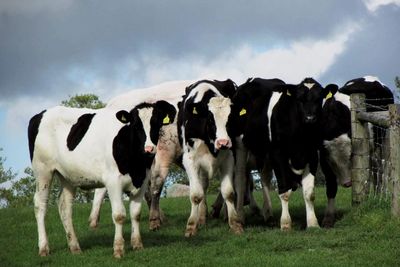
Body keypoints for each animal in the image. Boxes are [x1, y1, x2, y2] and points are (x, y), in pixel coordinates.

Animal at [28, 100, 177, 258]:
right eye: (136, 125)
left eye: (156, 123)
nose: (149, 149)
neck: (136, 166)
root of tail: (41, 114)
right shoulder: (113, 182)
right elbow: (119, 215)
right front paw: (118, 249)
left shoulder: (141, 182)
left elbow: (136, 214)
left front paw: (137, 245)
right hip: (43, 170)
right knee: (40, 204)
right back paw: (44, 248)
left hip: (68, 176)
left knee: (64, 206)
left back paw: (75, 247)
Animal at [178, 78, 244, 237]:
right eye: (210, 119)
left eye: (230, 119)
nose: (223, 142)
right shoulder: (189, 160)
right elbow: (196, 195)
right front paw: (191, 226)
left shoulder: (229, 158)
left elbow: (229, 192)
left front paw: (235, 224)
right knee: (202, 187)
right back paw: (201, 218)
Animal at [318, 76, 394, 228]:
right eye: (332, 162)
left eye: (351, 156)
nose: (347, 183)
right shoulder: (323, 158)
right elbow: (331, 186)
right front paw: (328, 218)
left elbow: (363, 178)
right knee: (375, 172)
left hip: (384, 140)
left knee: (383, 171)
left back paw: (382, 196)